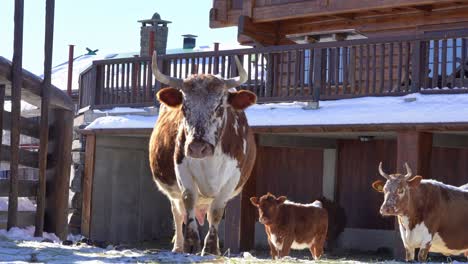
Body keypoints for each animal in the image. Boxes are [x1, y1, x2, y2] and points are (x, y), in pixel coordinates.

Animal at [149, 52, 256, 256]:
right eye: (184, 107)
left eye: (220, 107)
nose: (198, 147)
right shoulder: (181, 170)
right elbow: (189, 200)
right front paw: (191, 243)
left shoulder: (232, 179)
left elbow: (216, 212)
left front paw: (212, 248)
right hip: (172, 192)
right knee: (178, 213)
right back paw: (178, 246)